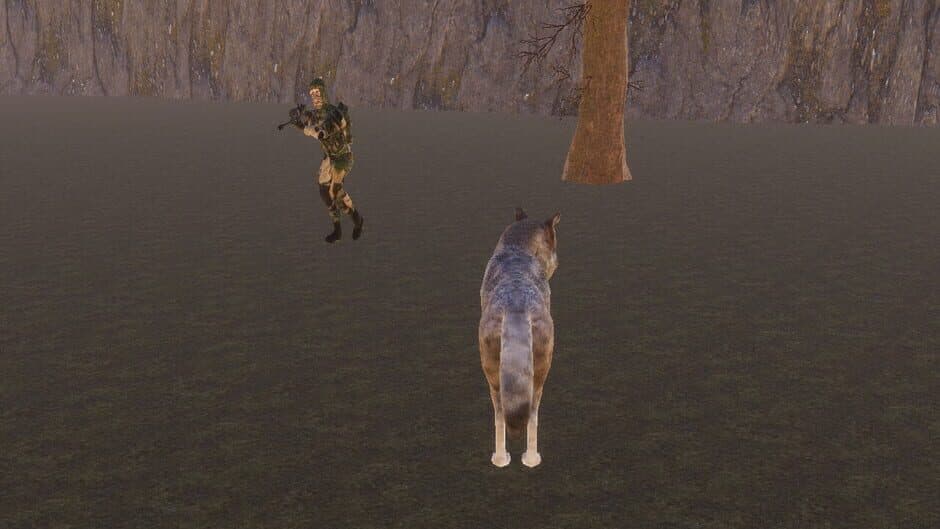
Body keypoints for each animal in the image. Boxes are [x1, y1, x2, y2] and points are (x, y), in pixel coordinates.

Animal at [479, 208, 560, 468]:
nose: (556, 261)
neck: (518, 250)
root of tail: (516, 305)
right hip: (541, 368)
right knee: (531, 412)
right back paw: (530, 459)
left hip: (493, 367)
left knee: (501, 412)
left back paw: (501, 459)